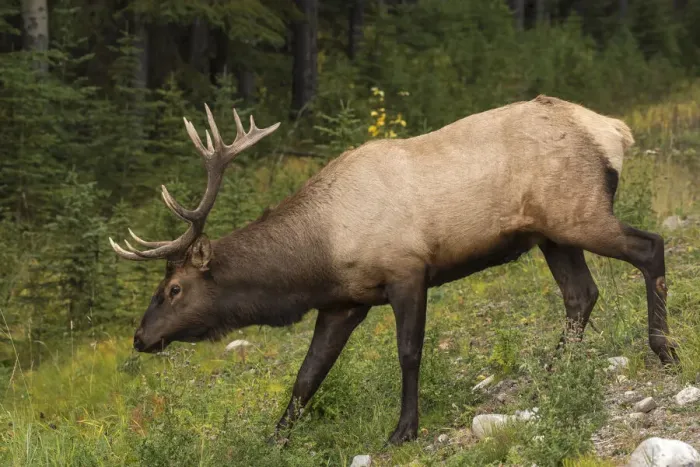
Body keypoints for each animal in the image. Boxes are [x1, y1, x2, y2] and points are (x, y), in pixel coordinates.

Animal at [109, 95, 679, 446]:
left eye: (174, 288)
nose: (140, 337)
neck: (318, 257)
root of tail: (615, 130)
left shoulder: (406, 271)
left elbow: (408, 352)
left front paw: (404, 429)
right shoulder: (342, 302)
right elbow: (307, 375)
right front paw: (277, 437)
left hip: (580, 213)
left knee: (650, 247)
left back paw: (664, 349)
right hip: (552, 234)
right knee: (581, 294)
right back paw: (551, 373)